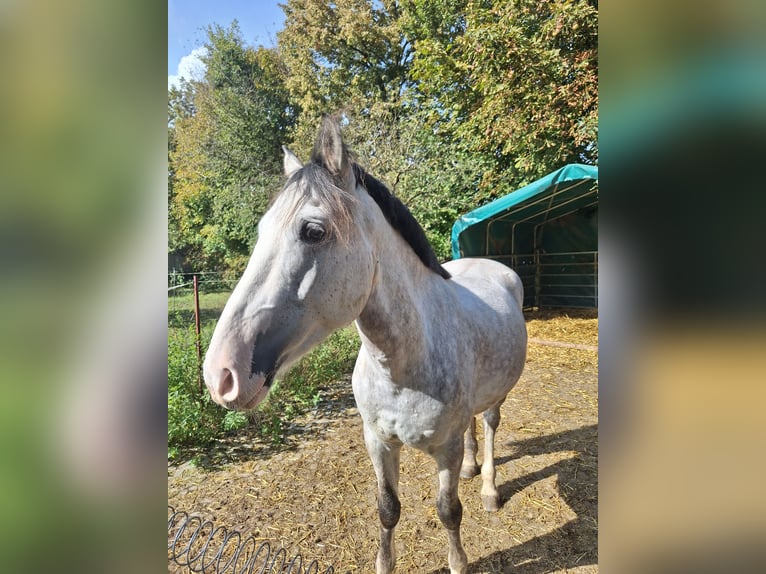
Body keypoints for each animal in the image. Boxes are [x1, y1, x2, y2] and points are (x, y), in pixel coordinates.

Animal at [202, 118, 528, 574]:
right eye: (262, 231)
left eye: (313, 231)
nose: (220, 374)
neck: (403, 365)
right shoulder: (377, 440)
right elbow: (387, 508)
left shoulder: (442, 450)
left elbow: (448, 511)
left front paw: (459, 562)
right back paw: (470, 467)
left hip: (497, 397)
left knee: (490, 425)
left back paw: (489, 490)